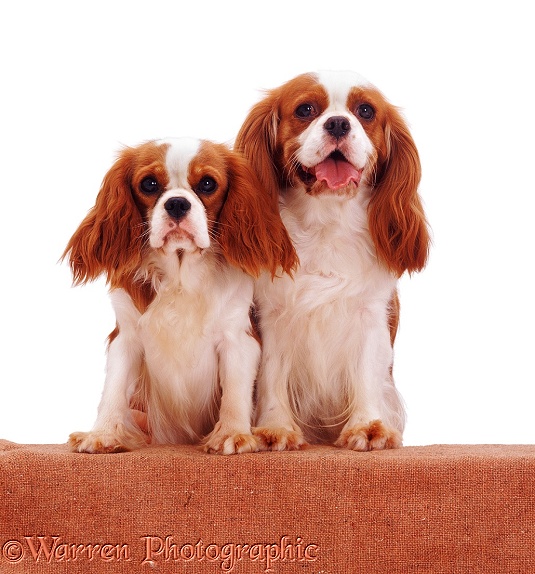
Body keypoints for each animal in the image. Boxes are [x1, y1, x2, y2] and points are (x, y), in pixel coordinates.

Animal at [64, 138, 298, 454]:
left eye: (208, 184)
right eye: (149, 184)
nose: (176, 203)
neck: (180, 276)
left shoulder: (238, 339)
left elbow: (235, 391)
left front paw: (232, 433)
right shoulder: (126, 337)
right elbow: (113, 389)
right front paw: (103, 433)